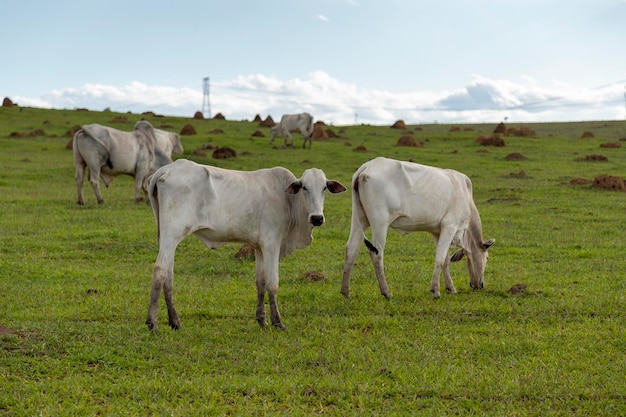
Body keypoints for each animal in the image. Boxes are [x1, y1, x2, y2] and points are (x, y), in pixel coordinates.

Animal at [338, 158, 494, 298]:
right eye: (486, 257)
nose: (480, 285)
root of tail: (367, 167)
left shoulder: (437, 231)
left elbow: (445, 260)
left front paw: (451, 288)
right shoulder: (450, 226)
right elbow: (440, 258)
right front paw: (435, 291)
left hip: (359, 220)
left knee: (351, 249)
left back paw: (345, 291)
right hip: (380, 222)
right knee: (377, 253)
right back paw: (386, 292)